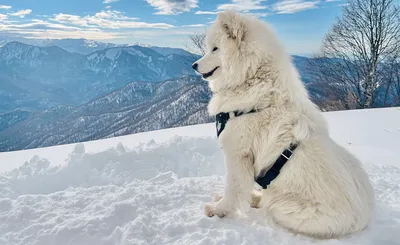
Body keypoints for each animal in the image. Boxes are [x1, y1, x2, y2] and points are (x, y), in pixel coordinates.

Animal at [192, 10, 374, 238]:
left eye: (215, 48)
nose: (194, 65)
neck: (253, 80)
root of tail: (363, 219)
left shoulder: (238, 154)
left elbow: (234, 189)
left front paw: (219, 211)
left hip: (281, 204)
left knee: (268, 202)